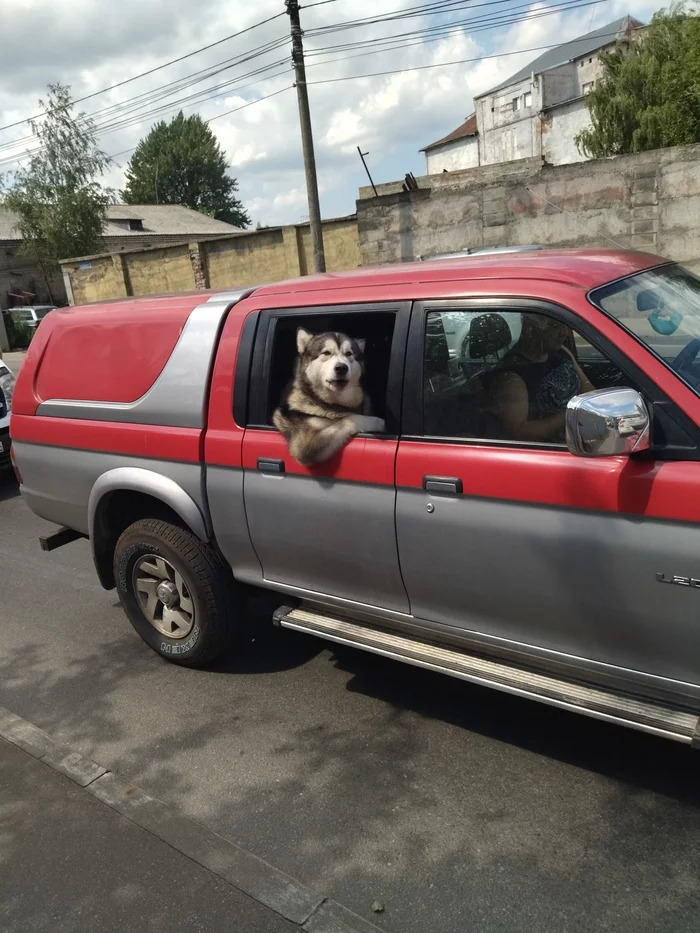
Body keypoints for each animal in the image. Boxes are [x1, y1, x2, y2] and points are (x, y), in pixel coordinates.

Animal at [274, 328, 386, 466]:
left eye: (349, 354)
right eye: (326, 353)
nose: (341, 368)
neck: (333, 404)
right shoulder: (304, 446)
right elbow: (349, 418)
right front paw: (379, 422)